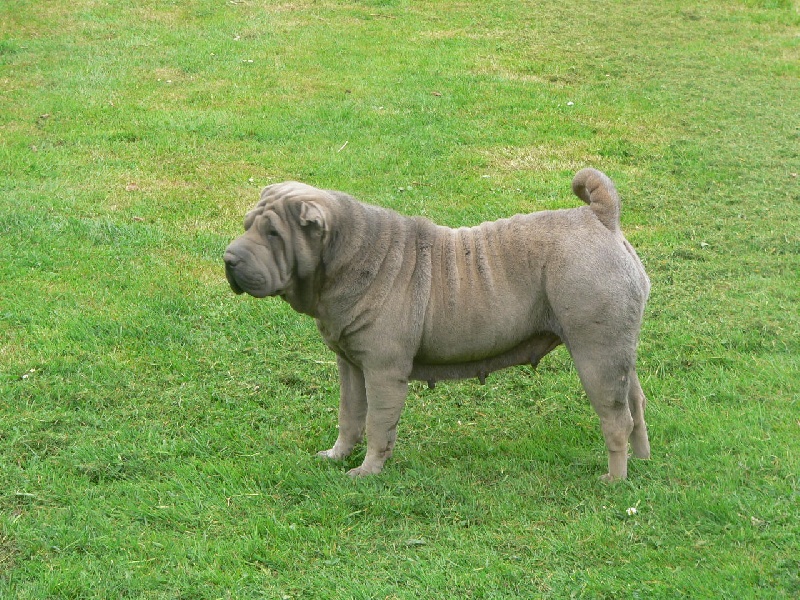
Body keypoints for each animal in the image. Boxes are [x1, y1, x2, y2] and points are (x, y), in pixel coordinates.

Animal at [224, 169, 651, 479]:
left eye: (273, 233)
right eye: (246, 225)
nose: (229, 258)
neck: (347, 256)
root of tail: (600, 216)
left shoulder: (382, 370)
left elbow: (377, 424)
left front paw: (366, 472)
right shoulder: (350, 363)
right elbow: (349, 416)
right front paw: (337, 455)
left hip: (595, 352)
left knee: (616, 418)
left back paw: (614, 478)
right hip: (616, 350)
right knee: (635, 403)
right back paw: (642, 461)